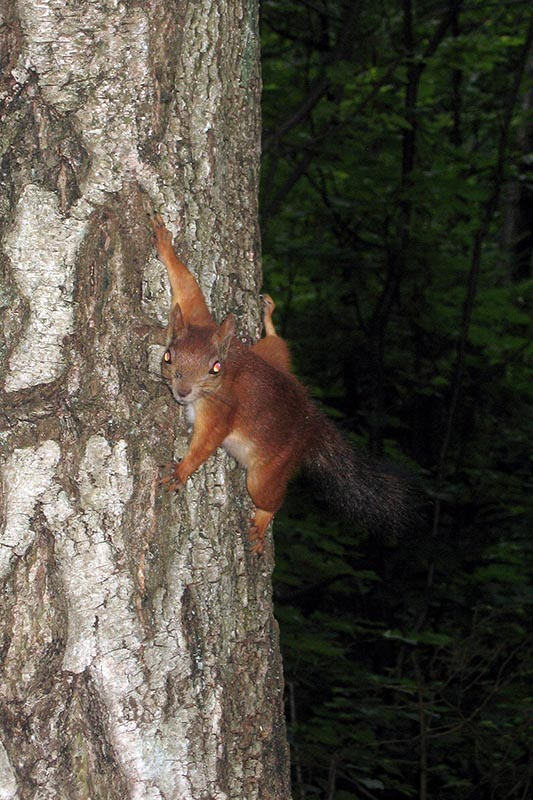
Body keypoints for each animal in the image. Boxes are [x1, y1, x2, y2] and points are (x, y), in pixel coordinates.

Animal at [149, 211, 415, 555]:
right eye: (168, 356)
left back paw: (262, 523)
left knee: (271, 498)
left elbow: (206, 444)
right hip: (271, 358)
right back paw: (270, 318)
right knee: (278, 346)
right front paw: (166, 246)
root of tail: (309, 422)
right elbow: (188, 287)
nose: (183, 392)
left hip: (268, 471)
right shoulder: (199, 318)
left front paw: (182, 471)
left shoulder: (222, 412)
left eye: (215, 368)